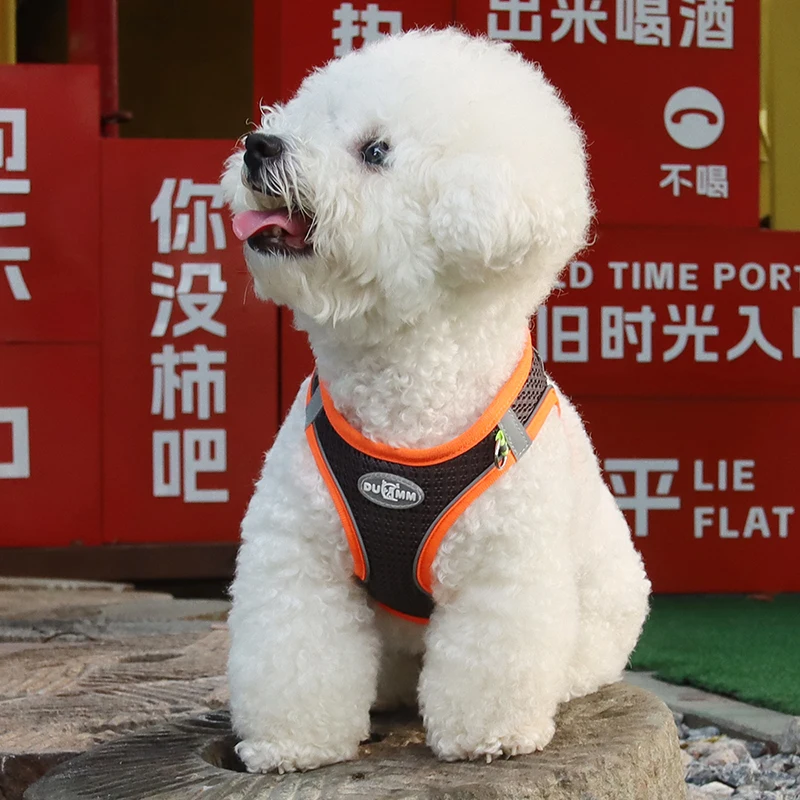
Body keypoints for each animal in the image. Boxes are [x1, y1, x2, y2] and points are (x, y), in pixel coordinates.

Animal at [220, 29, 648, 776]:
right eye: (303, 118)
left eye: (375, 151)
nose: (260, 145)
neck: (404, 396)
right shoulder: (299, 558)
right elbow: (296, 652)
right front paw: (291, 743)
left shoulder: (503, 569)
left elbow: (491, 656)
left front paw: (491, 736)